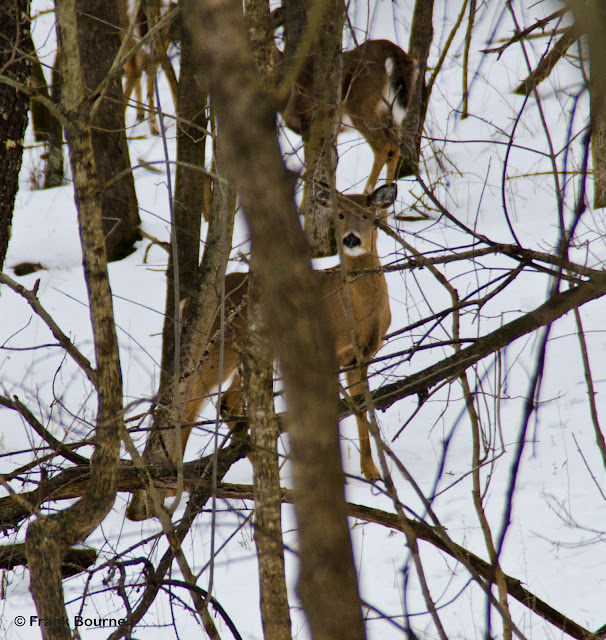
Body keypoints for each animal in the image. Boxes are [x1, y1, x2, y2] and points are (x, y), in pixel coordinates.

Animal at [126, 181, 396, 520]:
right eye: (340, 214)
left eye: (370, 215)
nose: (351, 239)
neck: (355, 311)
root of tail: (188, 303)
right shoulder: (330, 352)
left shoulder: (363, 355)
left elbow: (363, 411)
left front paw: (373, 473)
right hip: (218, 350)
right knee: (189, 406)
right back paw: (171, 488)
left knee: (226, 404)